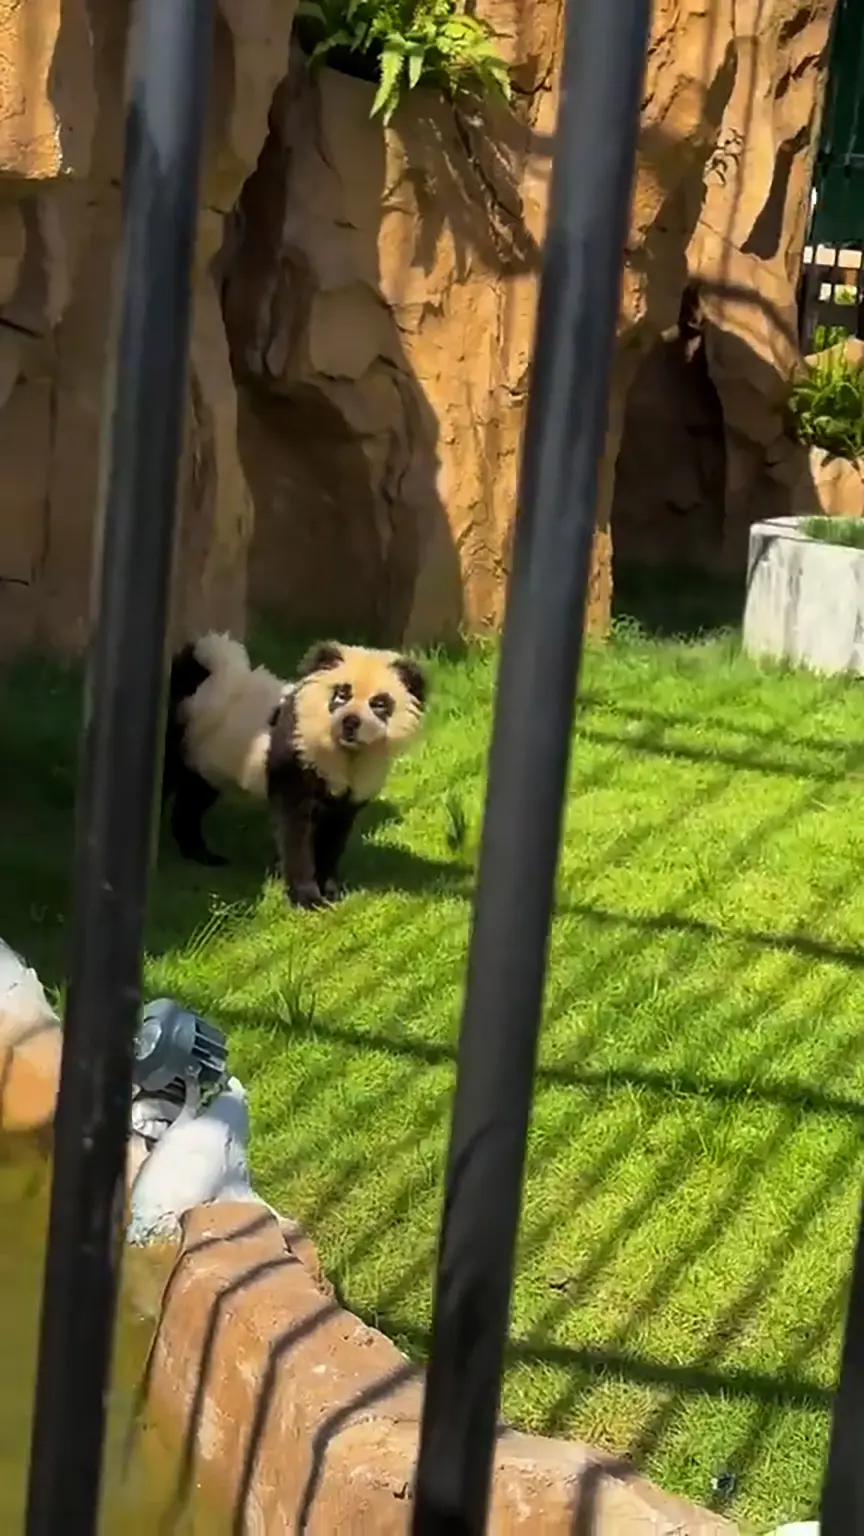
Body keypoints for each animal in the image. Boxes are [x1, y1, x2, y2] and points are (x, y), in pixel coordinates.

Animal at [162, 632, 427, 908]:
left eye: (379, 703)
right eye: (341, 695)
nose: (350, 723)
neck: (343, 753)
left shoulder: (348, 797)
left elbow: (333, 838)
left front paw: (331, 892)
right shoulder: (295, 762)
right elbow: (296, 835)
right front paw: (307, 899)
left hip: (210, 759)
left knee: (192, 802)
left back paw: (201, 854)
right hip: (181, 735)